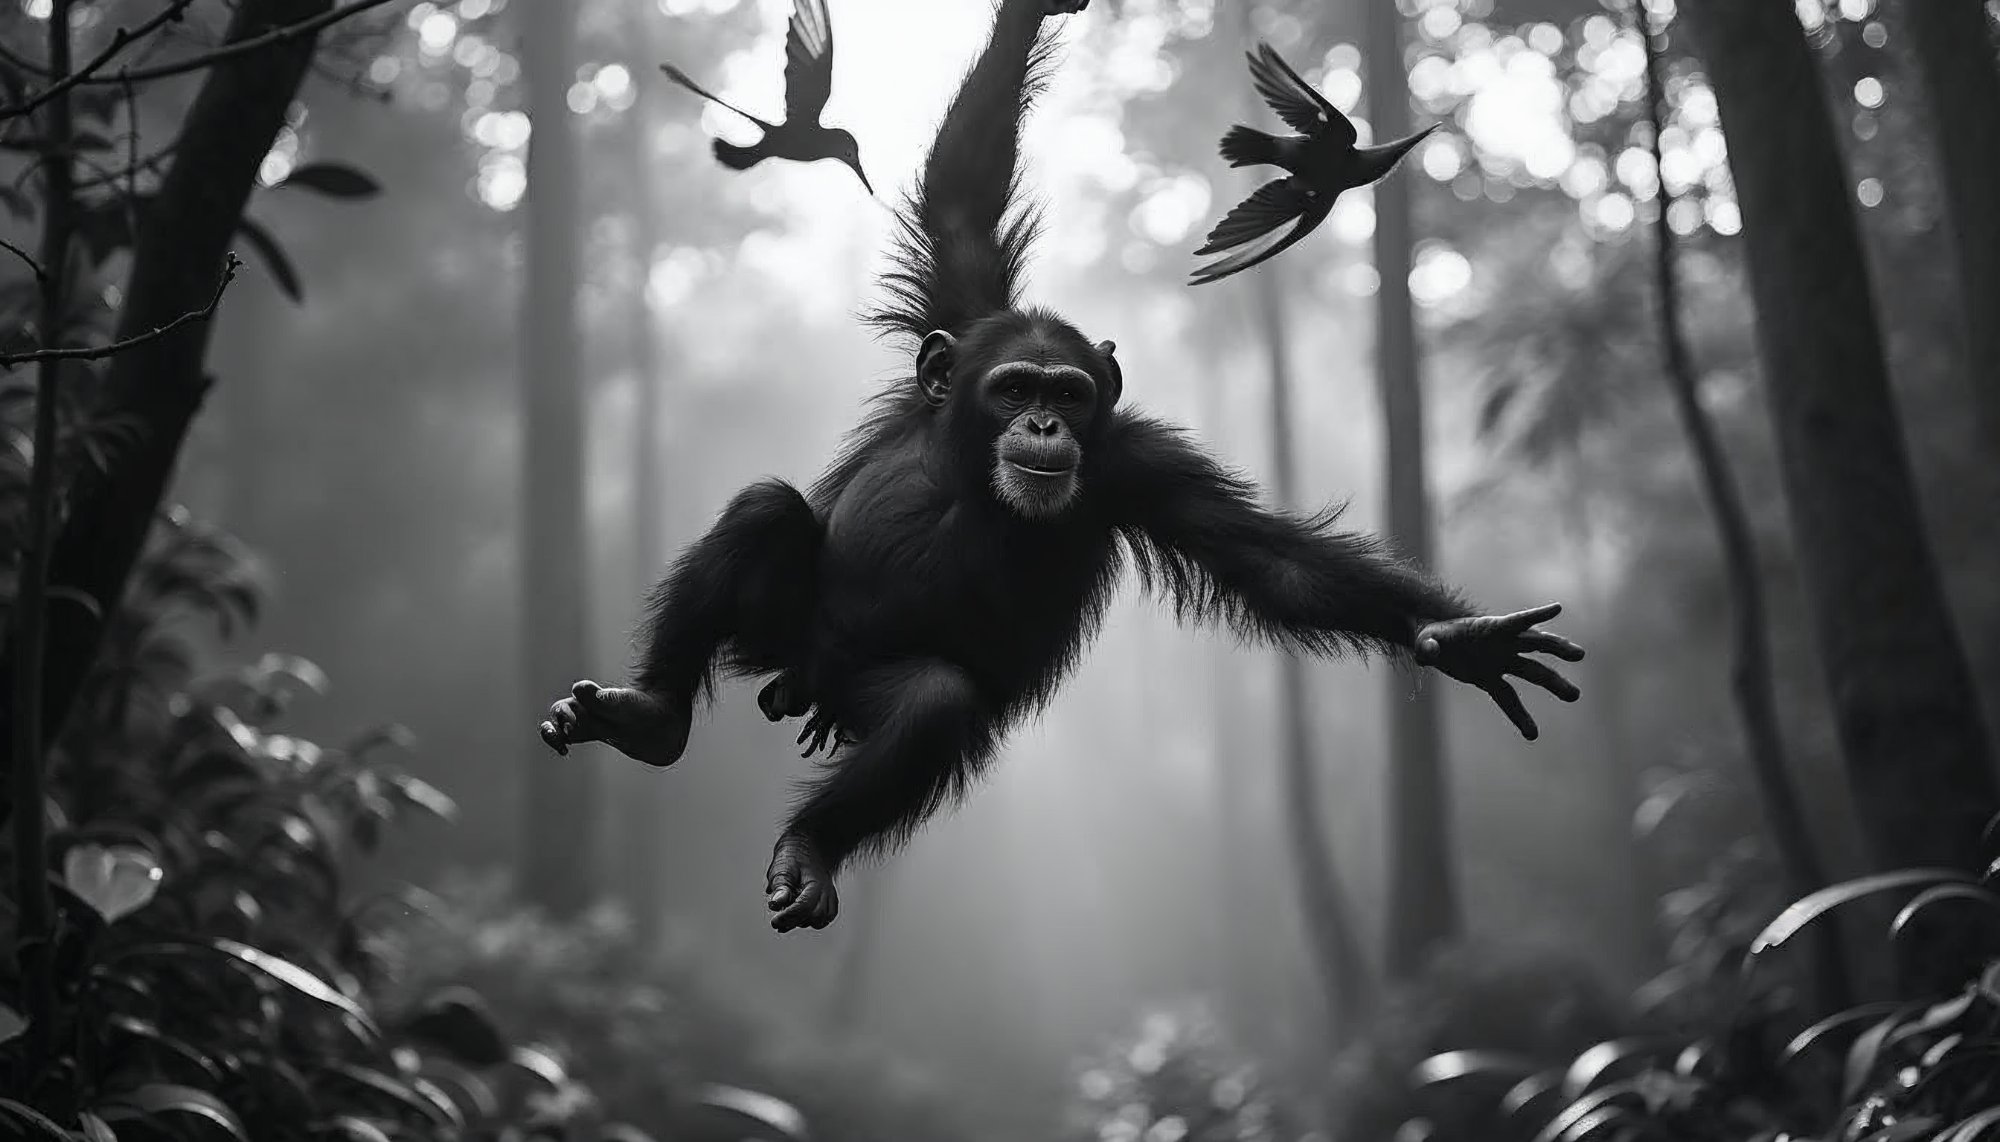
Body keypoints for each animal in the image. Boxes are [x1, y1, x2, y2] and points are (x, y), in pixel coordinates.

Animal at [541, 0, 1582, 934]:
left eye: (1072, 396)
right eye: (1013, 389)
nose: (1044, 422)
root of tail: (804, 684)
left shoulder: (1140, 468)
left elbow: (1273, 562)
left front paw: (1459, 638)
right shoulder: (963, 316)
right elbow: (962, 194)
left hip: (856, 686)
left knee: (933, 704)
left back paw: (810, 843)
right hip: (781, 635)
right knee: (763, 509)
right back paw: (653, 715)